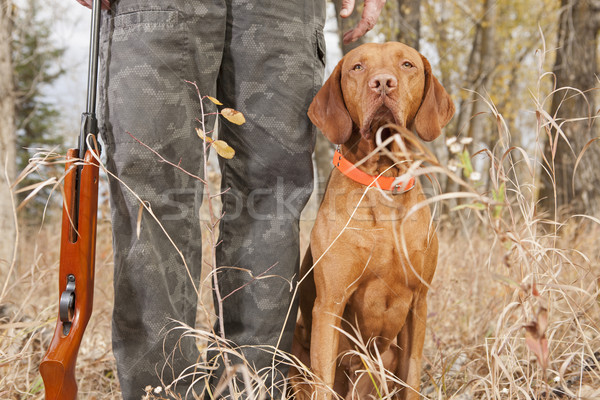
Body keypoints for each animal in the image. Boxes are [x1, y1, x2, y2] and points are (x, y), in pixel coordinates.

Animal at [290, 42, 454, 398]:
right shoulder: (330, 303)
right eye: (357, 67)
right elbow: (323, 381)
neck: (382, 180)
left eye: (407, 64)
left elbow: (412, 379)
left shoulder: (418, 304)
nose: (382, 83)